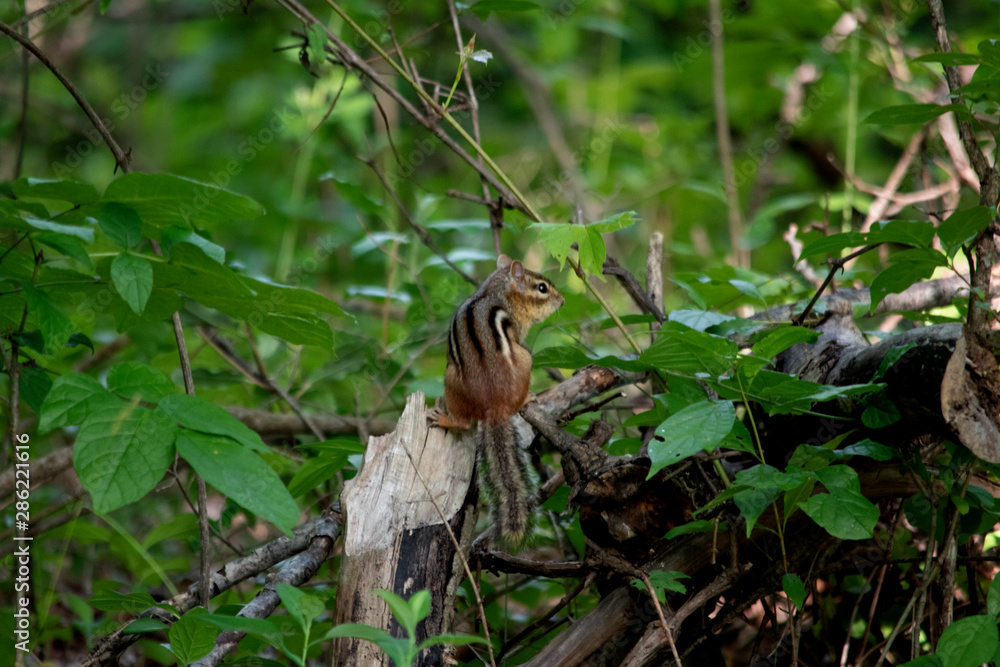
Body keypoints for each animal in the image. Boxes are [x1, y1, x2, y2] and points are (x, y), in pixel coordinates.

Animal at [429, 254, 564, 545]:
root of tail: (494, 404)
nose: (562, 301)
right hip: (526, 359)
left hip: (450, 377)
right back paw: (527, 398)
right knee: (466, 423)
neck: (496, 290)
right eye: (542, 288)